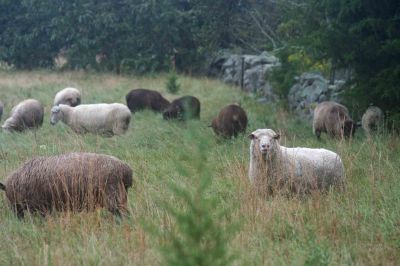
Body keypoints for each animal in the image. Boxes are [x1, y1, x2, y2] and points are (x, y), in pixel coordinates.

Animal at [0, 152, 134, 218]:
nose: (17, 219)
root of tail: (126, 170)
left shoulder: (39, 207)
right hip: (120, 196)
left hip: (113, 196)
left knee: (123, 215)